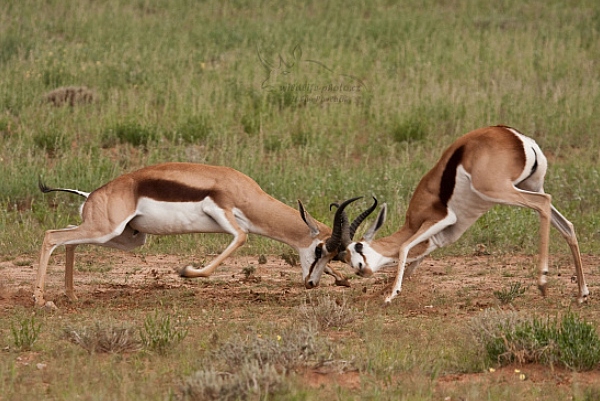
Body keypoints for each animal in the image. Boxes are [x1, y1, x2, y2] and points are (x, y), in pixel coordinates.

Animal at [35, 162, 370, 306]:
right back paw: (42, 301)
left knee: (68, 237)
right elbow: (241, 239)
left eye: (334, 255)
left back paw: (71, 294)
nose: (311, 284)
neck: (244, 191)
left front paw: (341, 280)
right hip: (108, 231)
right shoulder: (227, 217)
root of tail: (93, 194)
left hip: (126, 237)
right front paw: (186, 271)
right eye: (319, 250)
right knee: (52, 236)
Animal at [332, 125, 592, 304]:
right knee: (566, 225)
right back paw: (582, 294)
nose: (361, 270)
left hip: (501, 190)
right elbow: (411, 265)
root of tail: (517, 137)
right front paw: (383, 292)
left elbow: (404, 247)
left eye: (358, 247)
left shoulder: (441, 219)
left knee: (543, 204)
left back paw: (543, 282)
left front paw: (390, 295)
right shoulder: (434, 241)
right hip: (530, 186)